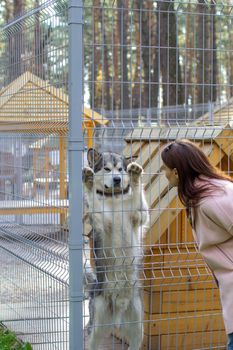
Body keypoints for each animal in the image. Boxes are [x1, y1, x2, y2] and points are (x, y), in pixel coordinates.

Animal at [83, 148, 149, 350]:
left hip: (137, 328)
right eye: (106, 168)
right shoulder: (100, 221)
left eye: (121, 169)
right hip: (96, 328)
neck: (114, 200)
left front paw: (135, 175)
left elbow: (138, 196)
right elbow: (93, 199)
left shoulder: (139, 215)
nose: (118, 179)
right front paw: (88, 181)